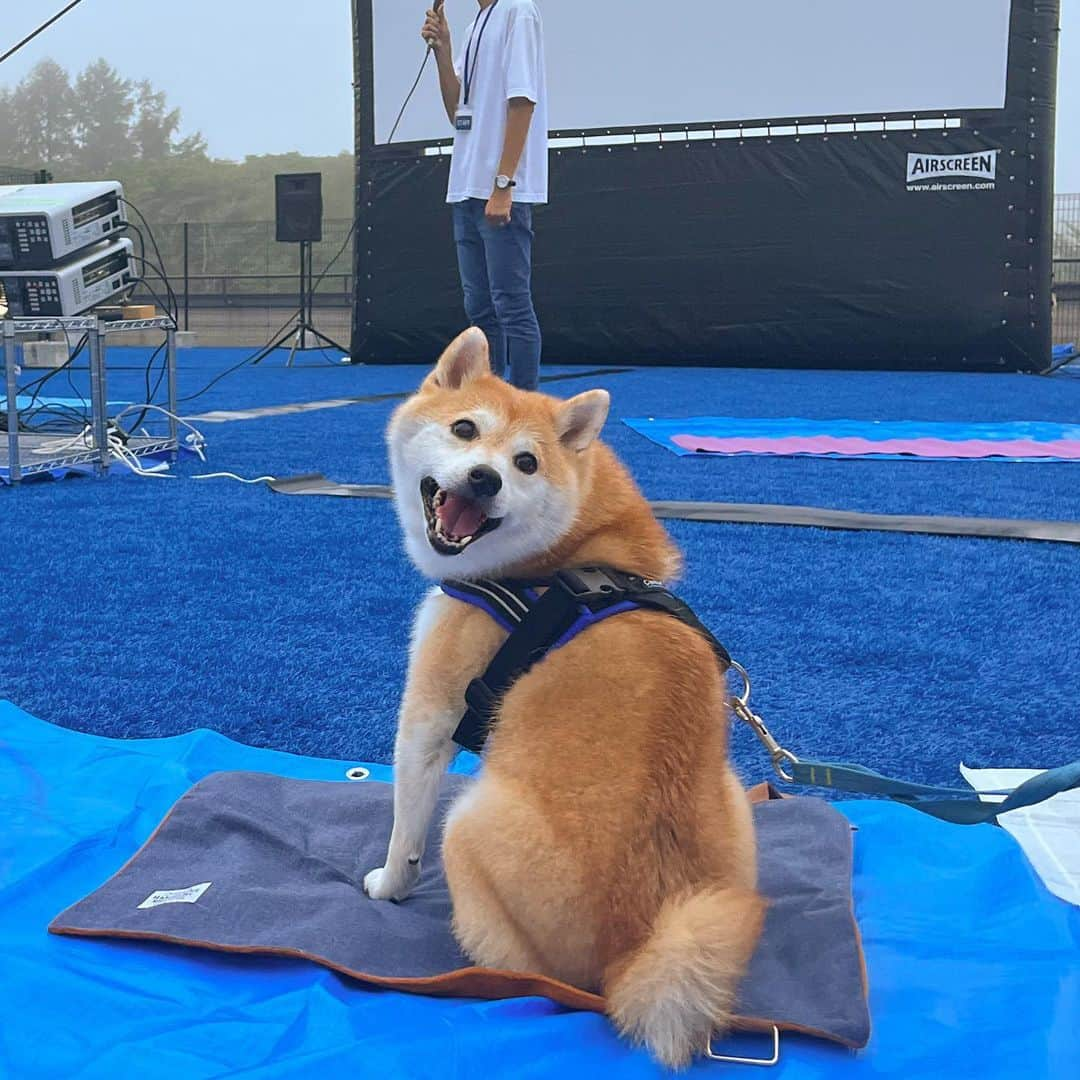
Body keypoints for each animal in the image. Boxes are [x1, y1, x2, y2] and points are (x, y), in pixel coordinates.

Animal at [367, 328, 764, 1071]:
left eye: (526, 463)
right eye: (465, 429)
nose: (485, 478)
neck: (566, 557)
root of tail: (632, 951)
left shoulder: (429, 713)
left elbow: (405, 824)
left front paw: (390, 883)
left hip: (466, 823)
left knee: (530, 974)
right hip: (729, 810)